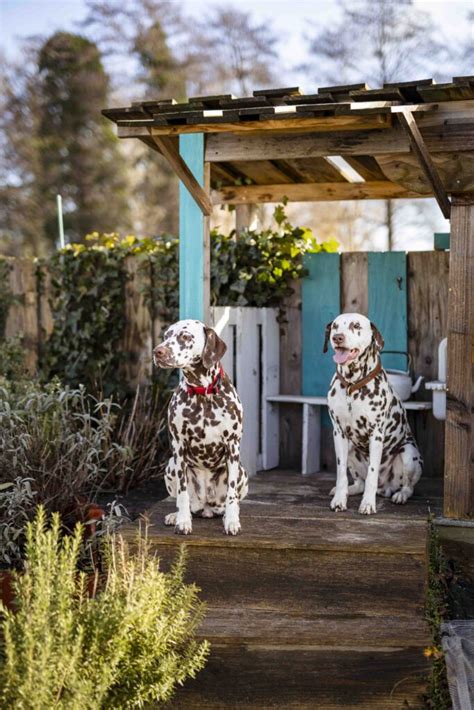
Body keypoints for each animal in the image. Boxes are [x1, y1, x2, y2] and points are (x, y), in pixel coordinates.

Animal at [153, 322, 250, 536]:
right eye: (166, 335)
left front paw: (232, 521)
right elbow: (182, 494)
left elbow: (231, 495)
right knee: (186, 502)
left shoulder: (232, 446)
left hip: (241, 472)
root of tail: (206, 507)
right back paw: (176, 515)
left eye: (185, 336)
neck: (202, 392)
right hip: (170, 467)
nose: (158, 352)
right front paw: (182, 521)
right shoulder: (178, 448)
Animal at [326, 314, 422, 516]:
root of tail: (384, 488)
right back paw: (350, 490)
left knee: (408, 487)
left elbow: (372, 473)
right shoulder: (339, 433)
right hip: (350, 448)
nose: (337, 337)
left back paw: (400, 495)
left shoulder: (376, 434)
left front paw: (368, 504)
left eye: (356, 325)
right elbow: (341, 473)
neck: (352, 386)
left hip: (409, 454)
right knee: (359, 483)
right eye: (335, 326)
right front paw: (339, 499)